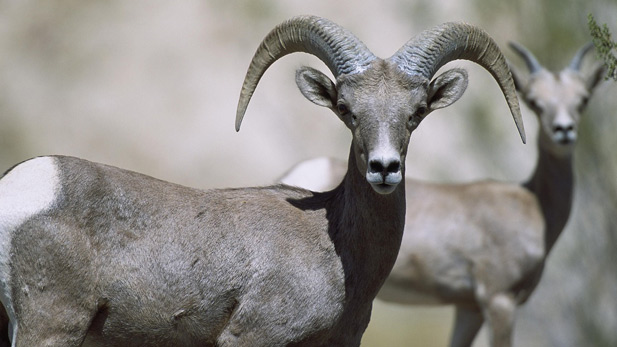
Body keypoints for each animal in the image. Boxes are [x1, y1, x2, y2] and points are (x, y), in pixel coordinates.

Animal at [0, 14, 524, 346]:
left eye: (416, 113)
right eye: (346, 110)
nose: (384, 168)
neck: (337, 248)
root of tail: (19, 191)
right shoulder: (250, 337)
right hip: (51, 327)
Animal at [282, 42, 604, 347]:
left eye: (583, 100)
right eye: (535, 102)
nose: (563, 131)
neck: (533, 203)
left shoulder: (468, 308)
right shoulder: (499, 300)